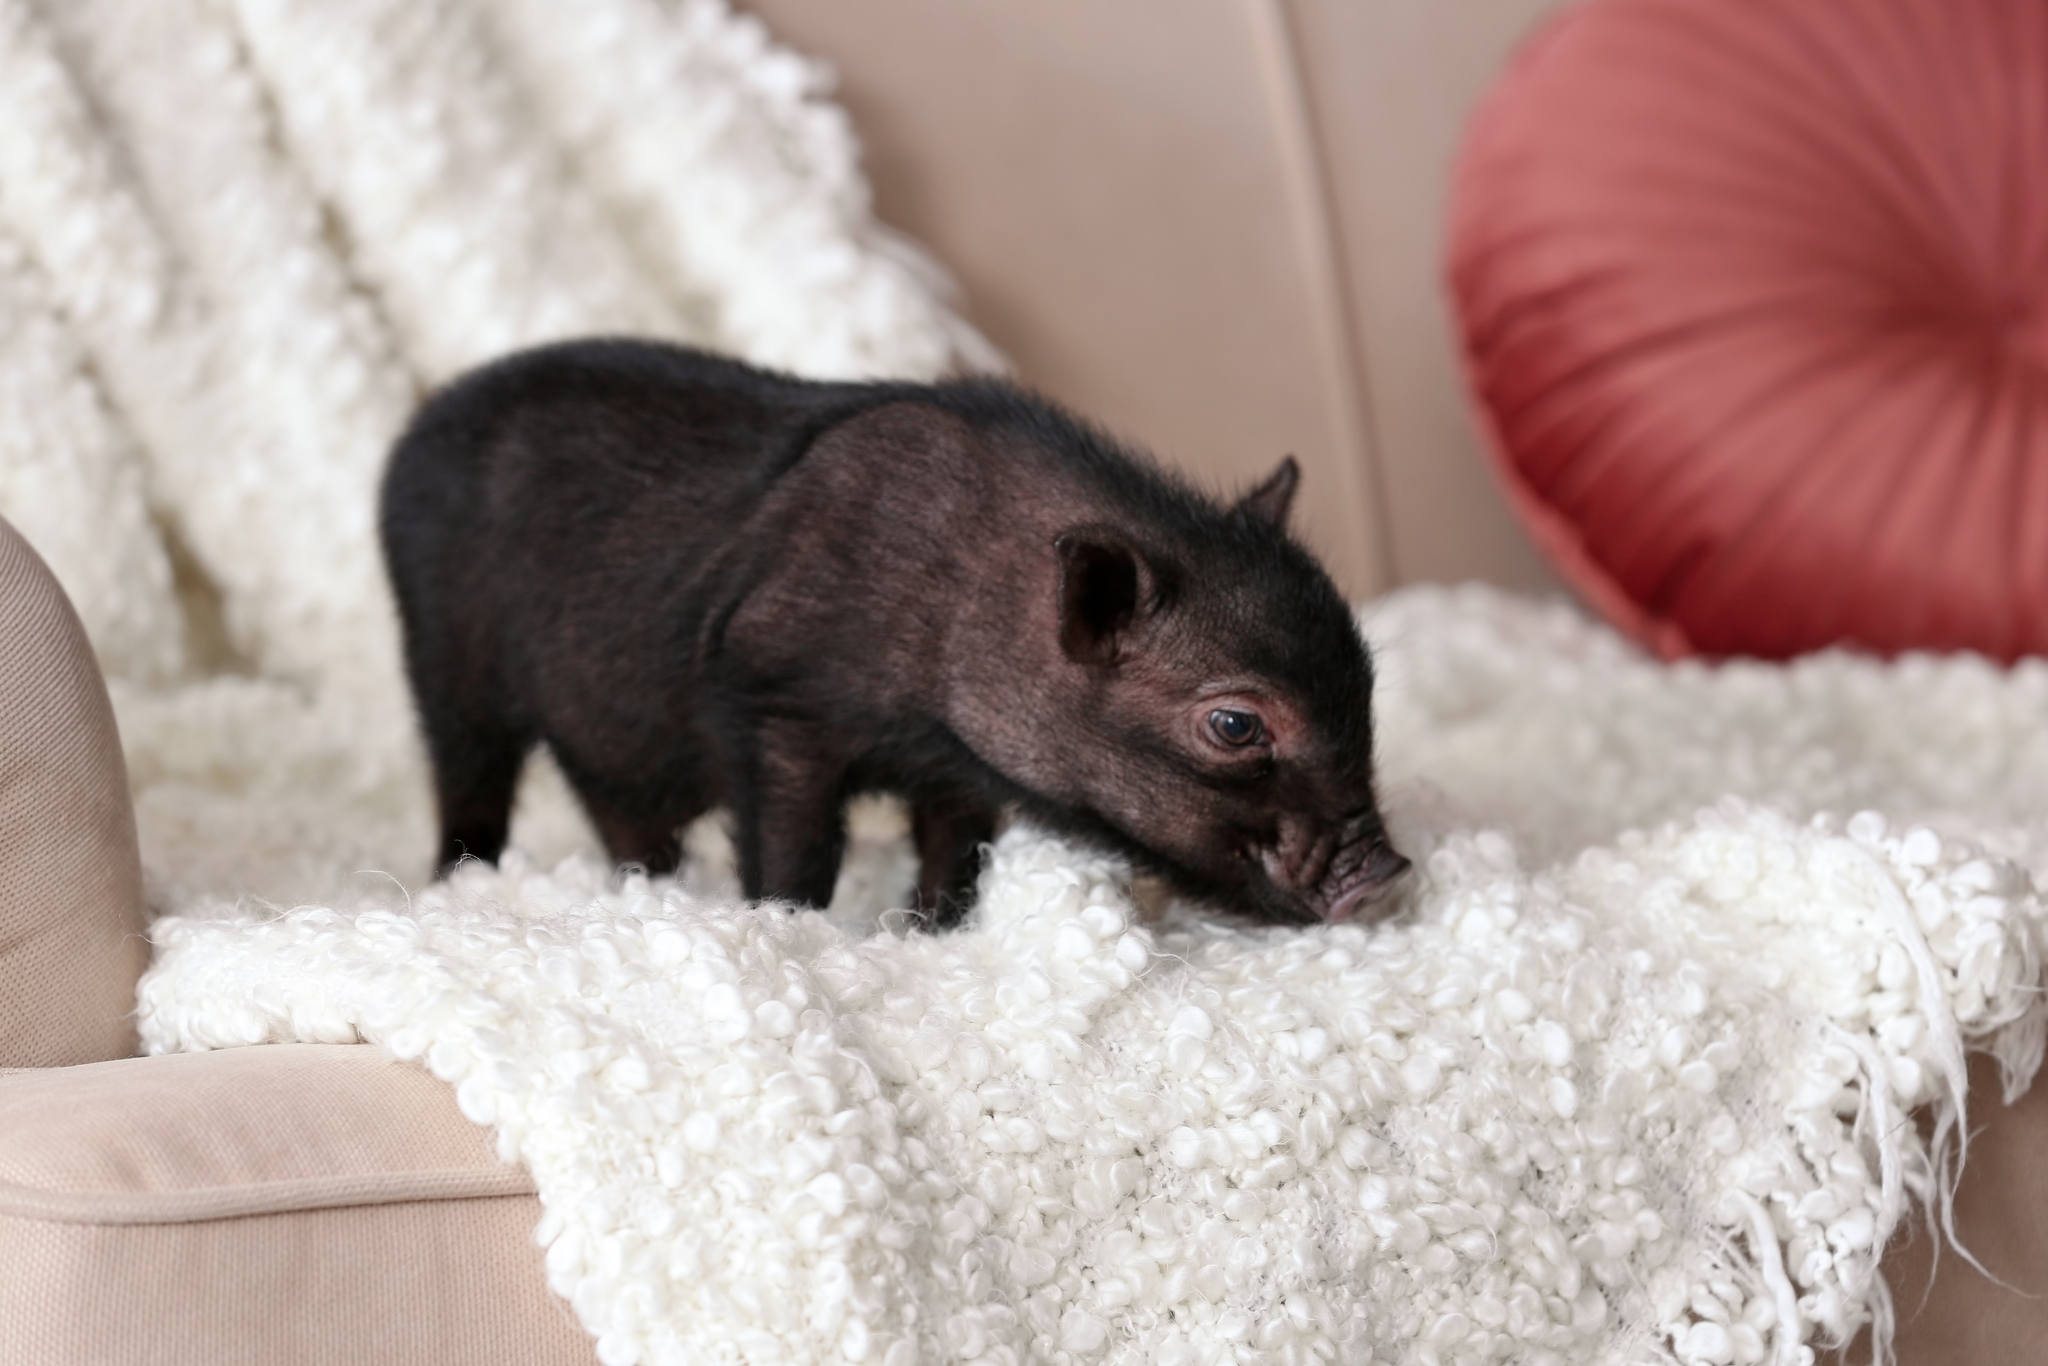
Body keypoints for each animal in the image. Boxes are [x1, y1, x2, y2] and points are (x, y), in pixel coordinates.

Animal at [379, 338, 1408, 926]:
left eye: (1367, 687)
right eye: (1235, 725)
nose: (1390, 871)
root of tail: (415, 426)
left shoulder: (957, 770)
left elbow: (958, 855)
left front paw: (930, 931)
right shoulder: (769, 697)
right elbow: (800, 850)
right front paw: (787, 927)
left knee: (614, 800)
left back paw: (653, 887)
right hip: (442, 657)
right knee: (468, 779)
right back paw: (457, 884)